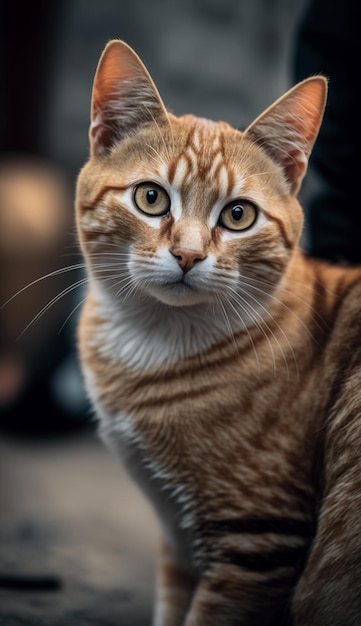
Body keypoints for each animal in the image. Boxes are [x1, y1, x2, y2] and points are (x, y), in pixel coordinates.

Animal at [74, 39, 360, 624]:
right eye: (151, 198)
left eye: (238, 215)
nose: (188, 254)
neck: (154, 340)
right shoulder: (177, 536)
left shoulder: (257, 538)